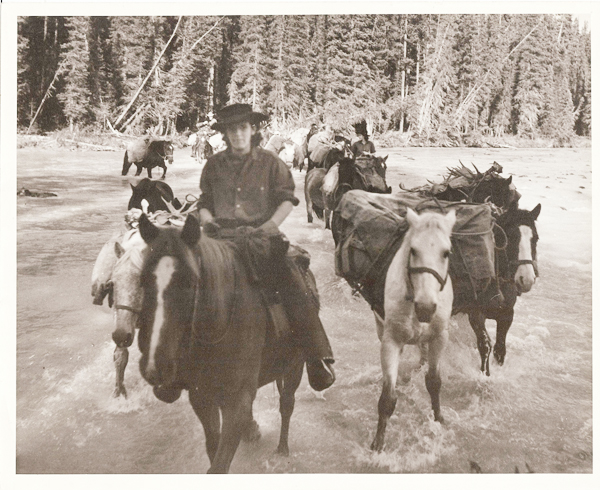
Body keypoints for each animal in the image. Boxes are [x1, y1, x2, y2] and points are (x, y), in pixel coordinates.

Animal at [136, 215, 304, 474]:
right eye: (143, 280)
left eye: (189, 282)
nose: (156, 366)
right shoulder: (202, 398)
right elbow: (213, 448)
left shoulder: (236, 402)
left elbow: (219, 463)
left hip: (295, 366)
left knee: (287, 404)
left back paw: (282, 448)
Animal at [370, 207, 454, 452]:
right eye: (414, 250)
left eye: (446, 253)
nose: (426, 307)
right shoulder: (390, 341)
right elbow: (387, 399)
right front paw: (378, 443)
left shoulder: (439, 338)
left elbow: (434, 382)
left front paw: (438, 419)